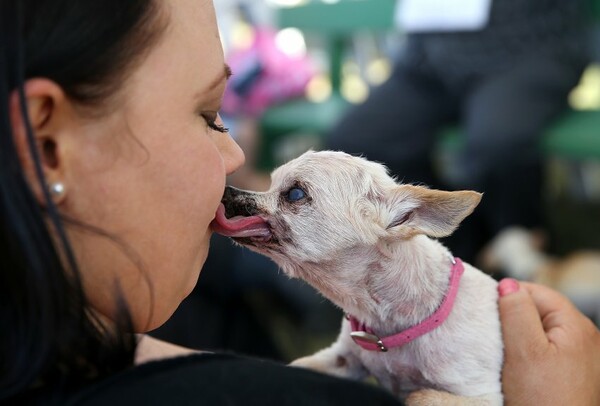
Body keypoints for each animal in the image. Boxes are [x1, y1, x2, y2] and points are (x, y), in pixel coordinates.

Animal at [211, 151, 502, 404]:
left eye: (295, 193)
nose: (226, 190)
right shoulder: (342, 359)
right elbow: (300, 365)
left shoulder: (481, 395)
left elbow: (419, 395)